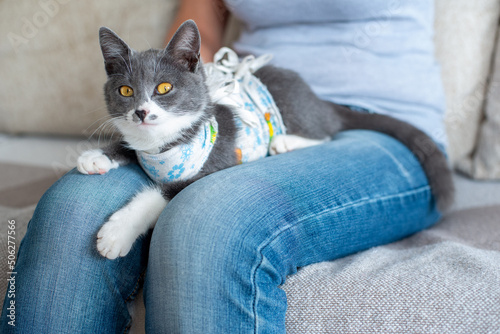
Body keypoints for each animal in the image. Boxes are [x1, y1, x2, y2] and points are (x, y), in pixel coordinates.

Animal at [77, 19, 454, 260]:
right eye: (126, 91)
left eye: (164, 88)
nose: (142, 112)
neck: (162, 144)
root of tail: (319, 98)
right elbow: (129, 145)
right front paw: (97, 156)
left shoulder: (215, 159)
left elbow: (160, 194)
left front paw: (117, 232)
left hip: (296, 108)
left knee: (328, 131)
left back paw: (288, 142)